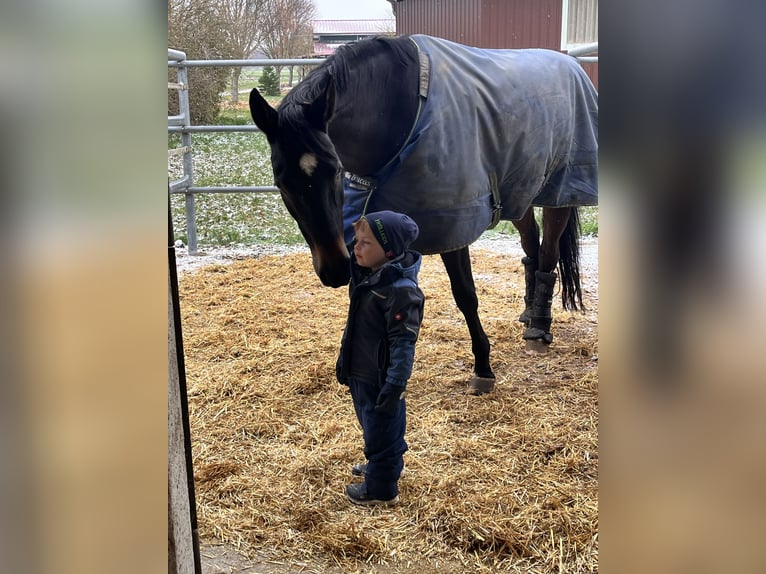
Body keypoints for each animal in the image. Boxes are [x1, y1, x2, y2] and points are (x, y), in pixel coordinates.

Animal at [248, 34, 598, 395]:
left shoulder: (453, 227)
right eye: (281, 180)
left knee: (549, 251)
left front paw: (483, 368)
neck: (398, 114)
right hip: (521, 191)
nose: (333, 270)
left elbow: (465, 296)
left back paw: (539, 328)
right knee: (531, 244)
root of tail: (572, 65)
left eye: (334, 170)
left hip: (560, 190)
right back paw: (528, 314)